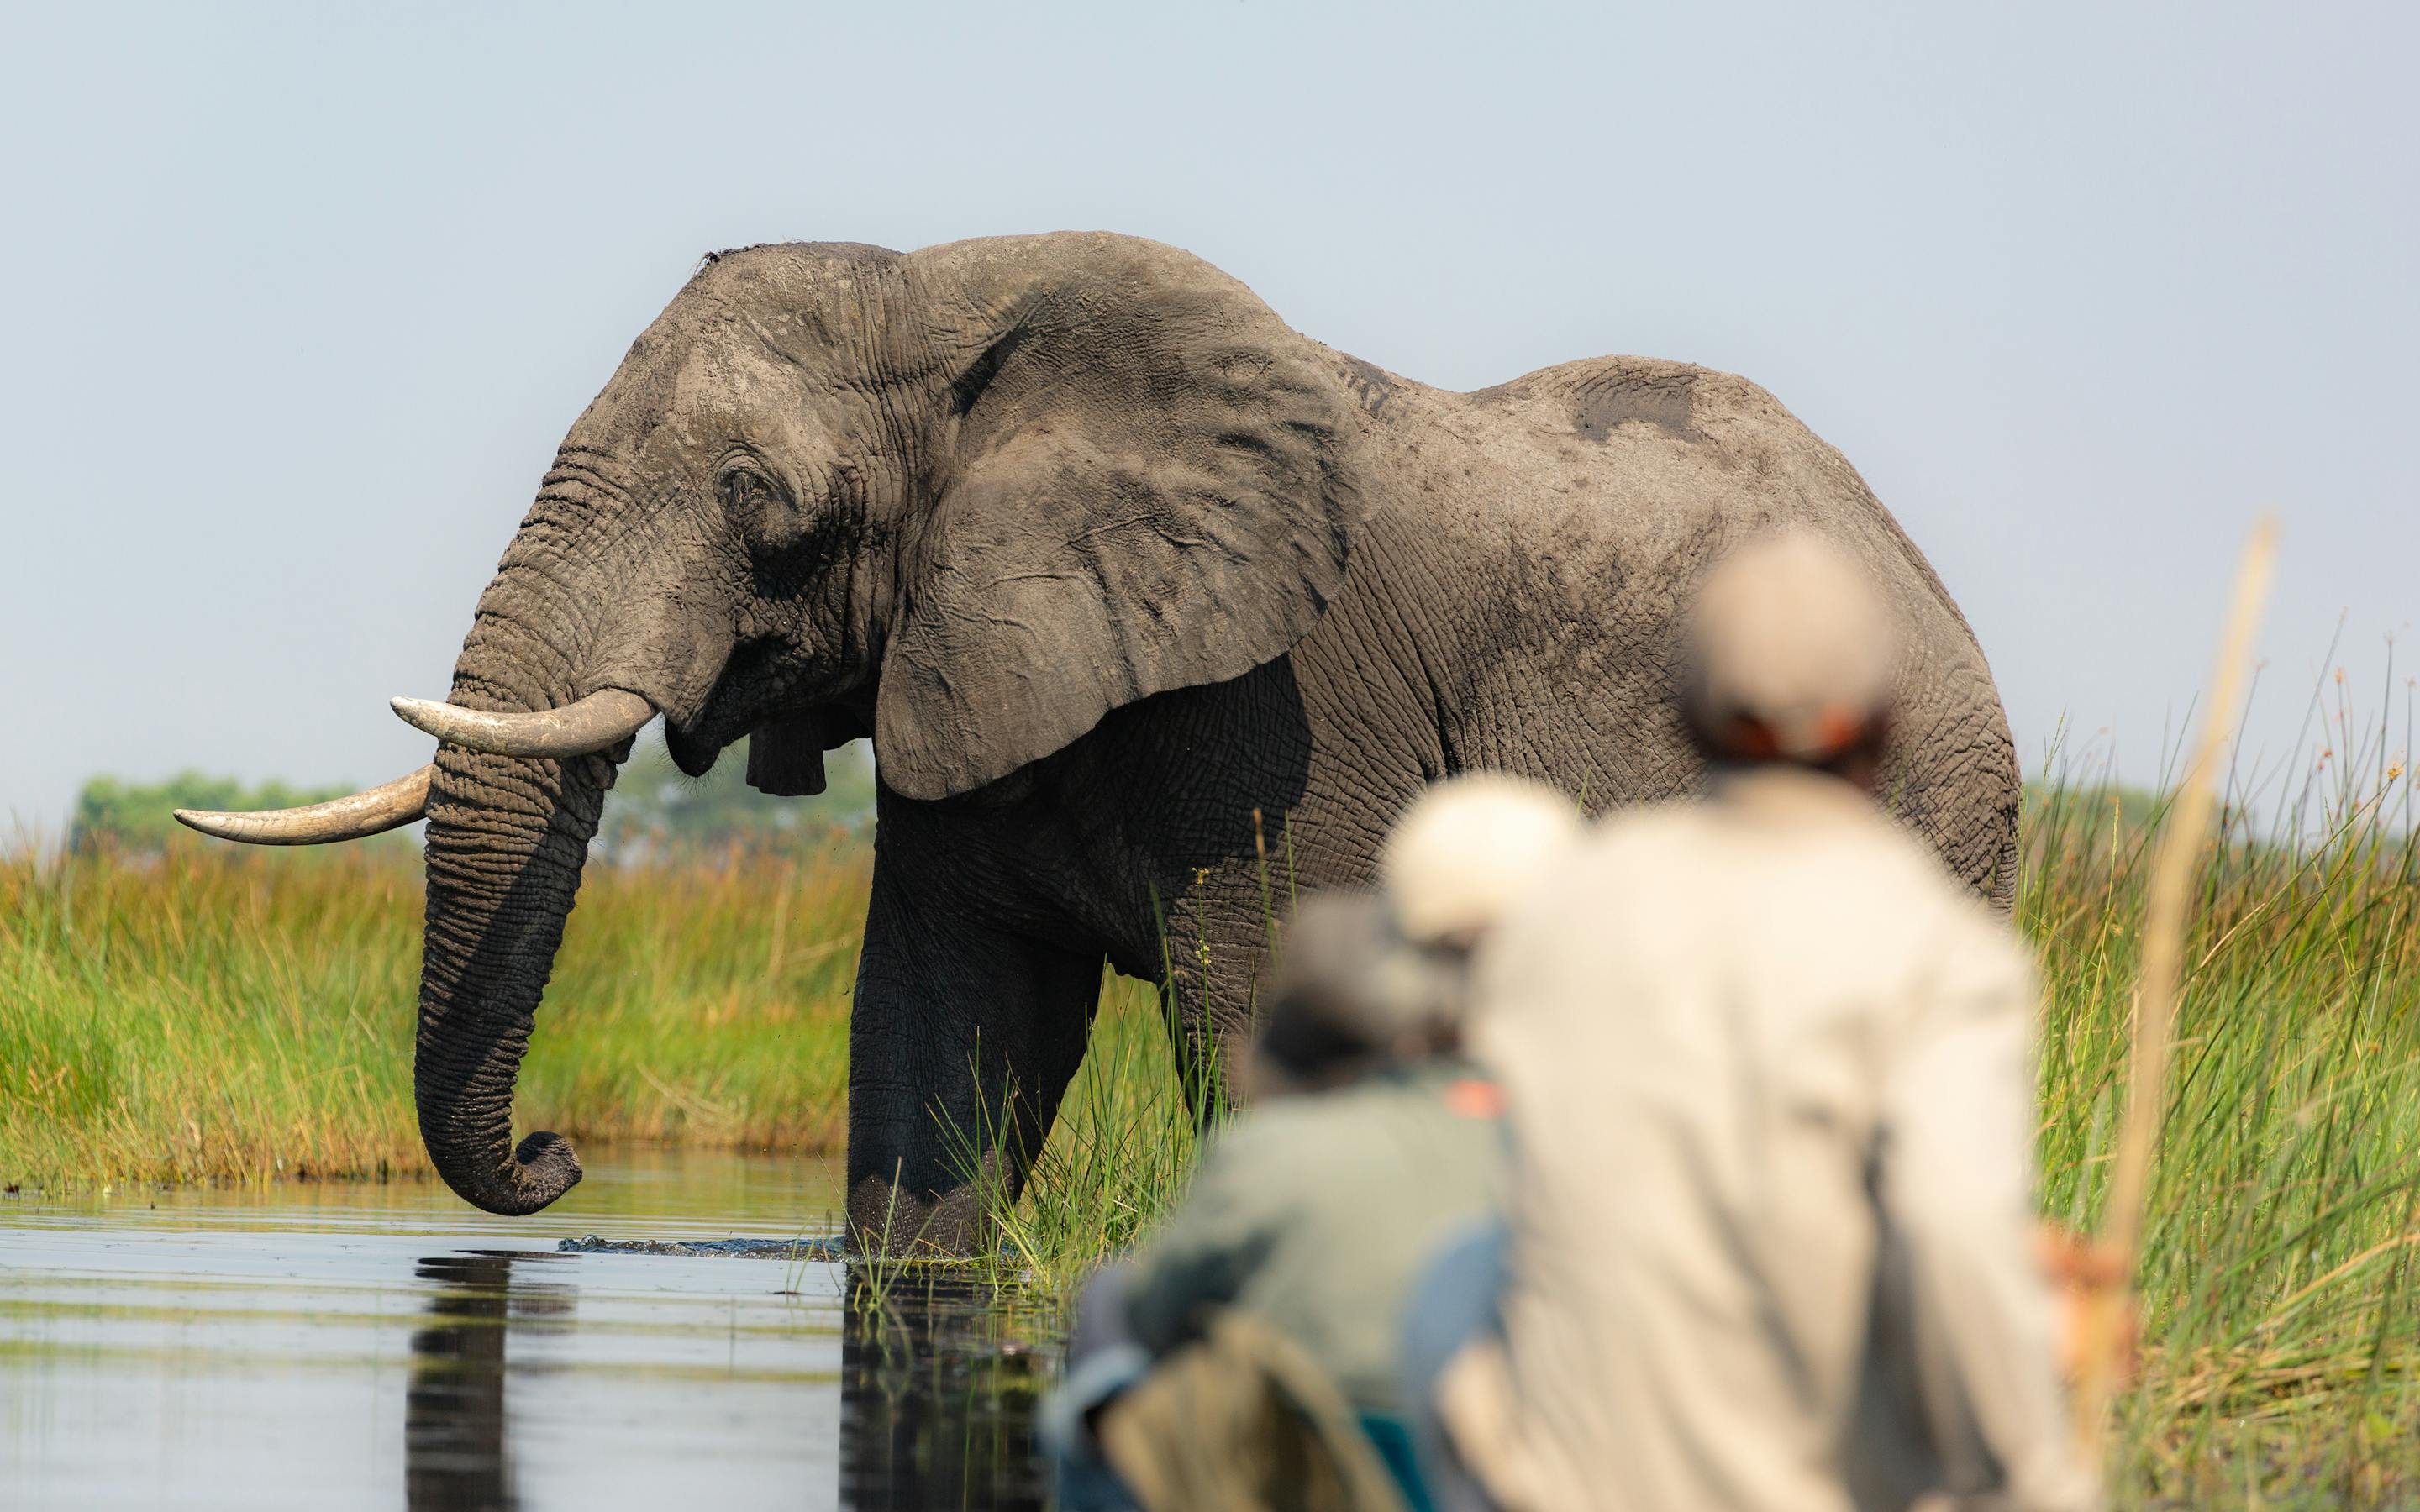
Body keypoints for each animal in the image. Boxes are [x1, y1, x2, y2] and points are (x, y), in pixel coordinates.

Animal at [179, 232, 2020, 1251]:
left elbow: (1259, 1005)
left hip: (1924, 800)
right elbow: (939, 1032)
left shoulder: (1275, 708)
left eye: (763, 500)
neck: (966, 309)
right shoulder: (966, 668)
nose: (562, 1156)